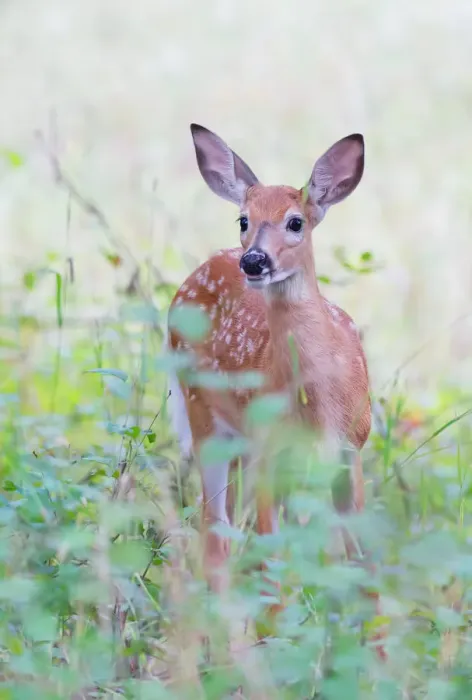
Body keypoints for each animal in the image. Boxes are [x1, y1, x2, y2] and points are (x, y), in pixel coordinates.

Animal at [167, 123, 386, 660]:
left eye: (295, 222)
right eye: (243, 219)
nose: (254, 260)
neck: (319, 403)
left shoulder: (350, 447)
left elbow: (360, 559)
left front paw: (378, 657)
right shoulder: (269, 449)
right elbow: (273, 554)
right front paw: (280, 645)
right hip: (207, 420)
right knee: (217, 539)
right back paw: (229, 652)